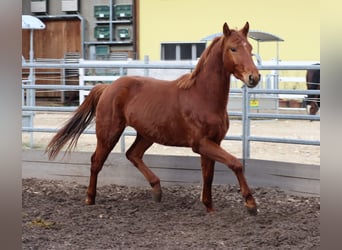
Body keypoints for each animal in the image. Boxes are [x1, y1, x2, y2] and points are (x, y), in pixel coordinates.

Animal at [45, 22, 260, 215]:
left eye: (250, 48)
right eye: (233, 48)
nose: (254, 77)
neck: (203, 96)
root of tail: (107, 87)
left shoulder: (213, 143)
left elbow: (208, 175)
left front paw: (209, 207)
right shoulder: (201, 144)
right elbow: (235, 163)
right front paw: (250, 204)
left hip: (147, 134)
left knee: (132, 154)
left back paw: (157, 190)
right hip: (109, 133)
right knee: (97, 161)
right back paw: (90, 198)